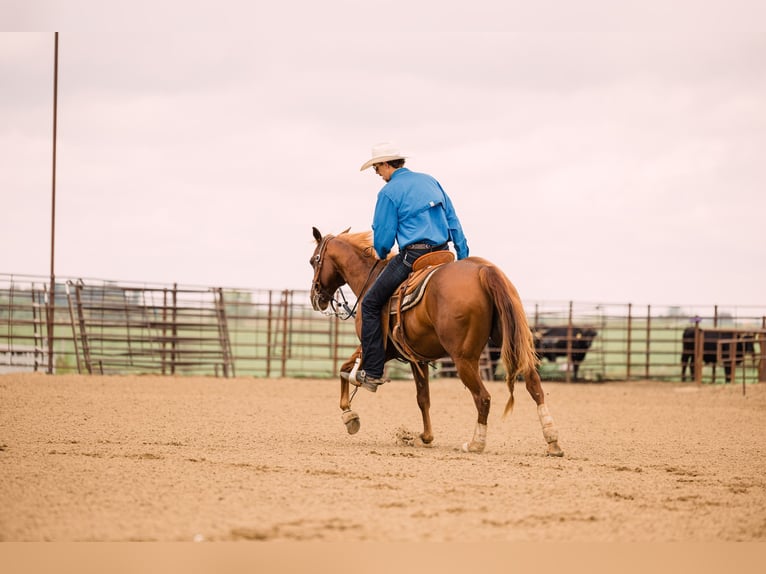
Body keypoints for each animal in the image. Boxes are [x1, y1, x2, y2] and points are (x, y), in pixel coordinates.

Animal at [309, 227, 563, 456]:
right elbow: (423, 397)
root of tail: (483, 271)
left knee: (483, 397)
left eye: (313, 261)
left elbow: (345, 369)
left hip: (464, 359)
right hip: (512, 344)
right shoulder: (415, 356)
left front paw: (349, 415)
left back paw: (475, 444)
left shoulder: (375, 345)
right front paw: (426, 436)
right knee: (534, 384)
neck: (369, 279)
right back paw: (552, 441)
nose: (315, 297)